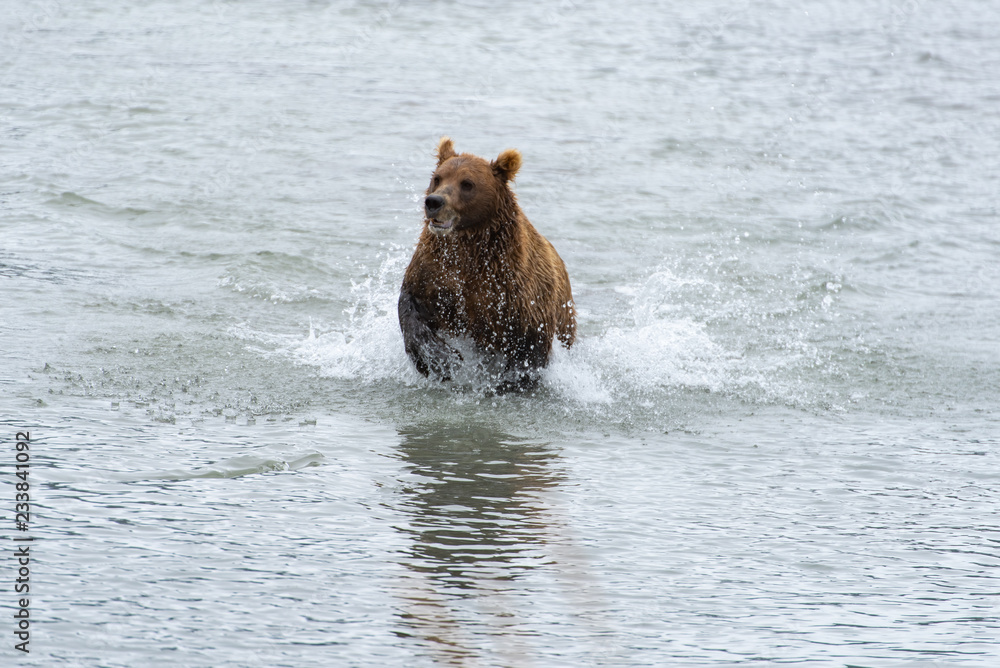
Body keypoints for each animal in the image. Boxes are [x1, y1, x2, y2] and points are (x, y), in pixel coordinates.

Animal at [398, 137, 576, 392]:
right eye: (438, 178)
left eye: (467, 183)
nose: (433, 202)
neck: (470, 246)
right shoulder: (435, 270)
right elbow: (412, 306)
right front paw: (442, 361)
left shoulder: (514, 288)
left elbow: (531, 341)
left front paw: (510, 382)